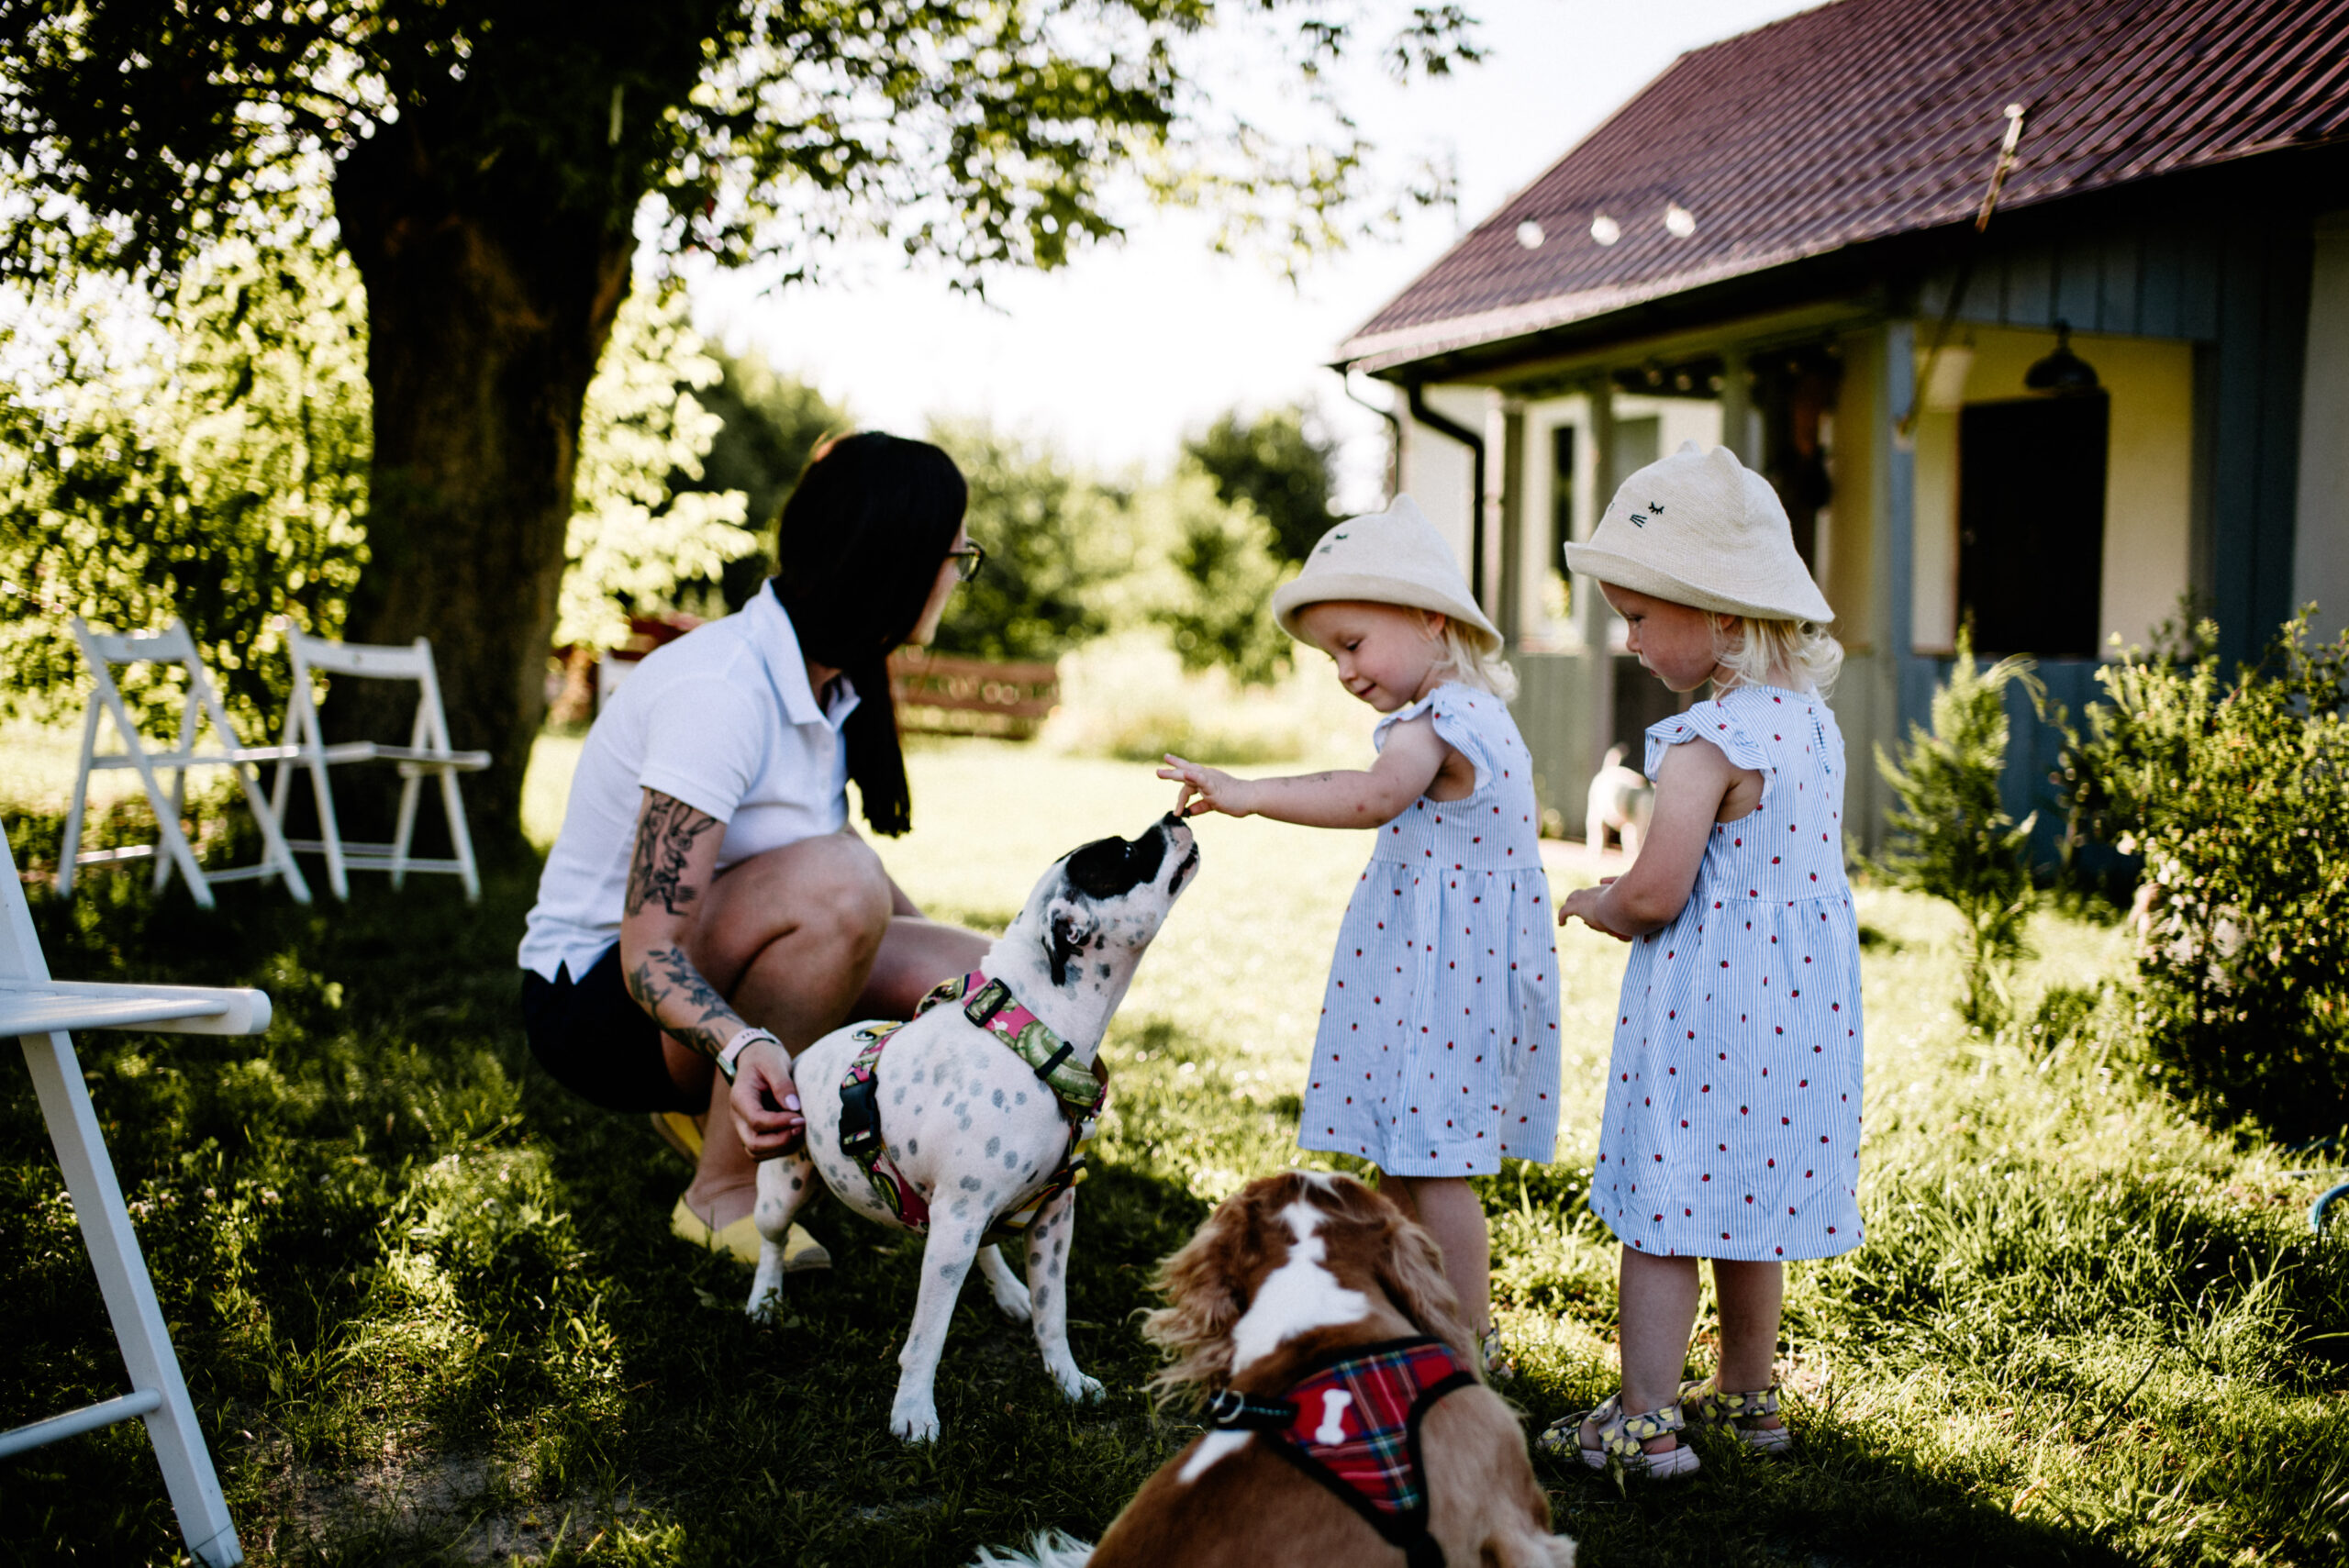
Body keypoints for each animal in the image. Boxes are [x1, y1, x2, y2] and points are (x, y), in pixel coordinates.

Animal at [747, 812, 1200, 1442]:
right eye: (1129, 854)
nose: (1175, 816)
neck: (1036, 1032)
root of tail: (804, 1052)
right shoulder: (958, 1220)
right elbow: (928, 1334)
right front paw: (913, 1412)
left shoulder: (1054, 1216)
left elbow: (1053, 1313)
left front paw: (1066, 1381)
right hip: (786, 1189)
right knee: (773, 1239)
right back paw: (765, 1301)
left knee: (988, 1251)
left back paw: (1009, 1290)